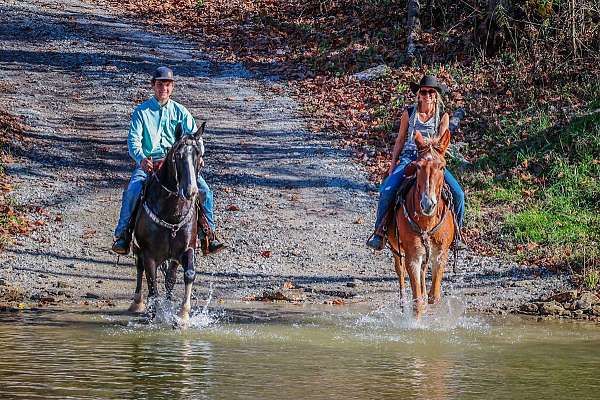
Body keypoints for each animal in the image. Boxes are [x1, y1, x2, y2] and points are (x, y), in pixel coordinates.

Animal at [127, 122, 205, 324]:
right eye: (178, 155)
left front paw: (182, 315)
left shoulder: (187, 249)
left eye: (198, 154)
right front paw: (154, 316)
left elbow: (187, 274)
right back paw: (137, 303)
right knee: (140, 269)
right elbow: (152, 284)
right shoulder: (149, 254)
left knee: (170, 277)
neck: (171, 212)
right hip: (138, 248)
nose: (191, 191)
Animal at [386, 130, 458, 318]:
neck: (427, 222)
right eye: (418, 166)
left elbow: (434, 296)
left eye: (442, 167)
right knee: (400, 272)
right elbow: (416, 300)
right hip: (396, 248)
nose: (428, 204)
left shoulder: (440, 254)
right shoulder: (412, 256)